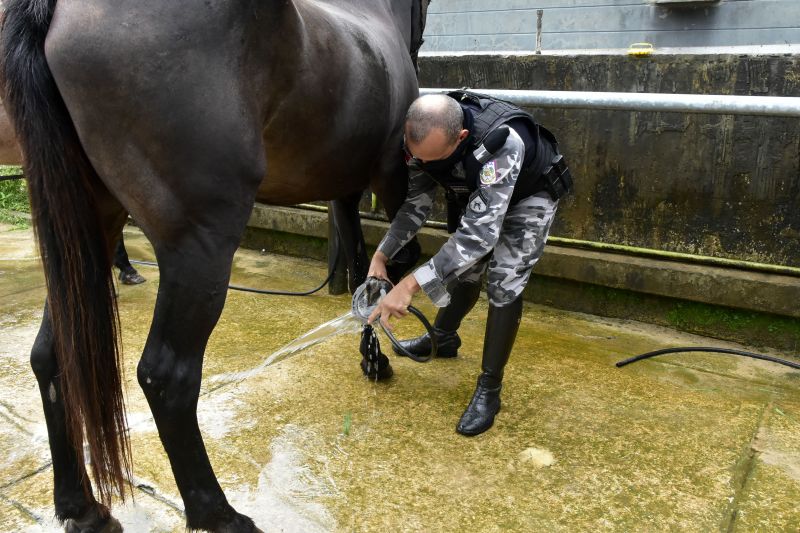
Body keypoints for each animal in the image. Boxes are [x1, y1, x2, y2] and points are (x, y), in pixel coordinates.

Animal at [3, 2, 428, 528]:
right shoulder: (391, 175)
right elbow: (392, 262)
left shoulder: (346, 191)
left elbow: (361, 268)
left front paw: (373, 354)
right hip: (200, 249)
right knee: (167, 377)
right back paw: (219, 514)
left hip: (84, 238)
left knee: (52, 355)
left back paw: (80, 508)